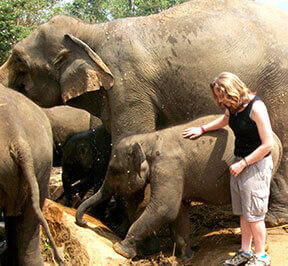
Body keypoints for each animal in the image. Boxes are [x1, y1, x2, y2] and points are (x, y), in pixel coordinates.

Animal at [0, 0, 288, 225]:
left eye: (19, 60)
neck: (90, 32)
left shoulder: (127, 83)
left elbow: (130, 137)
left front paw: (121, 227)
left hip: (279, 84)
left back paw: (273, 219)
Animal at [76, 115, 282, 260]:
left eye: (114, 170)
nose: (84, 222)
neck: (149, 139)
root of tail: (277, 139)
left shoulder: (168, 167)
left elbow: (165, 208)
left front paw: (120, 249)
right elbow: (179, 210)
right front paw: (184, 258)